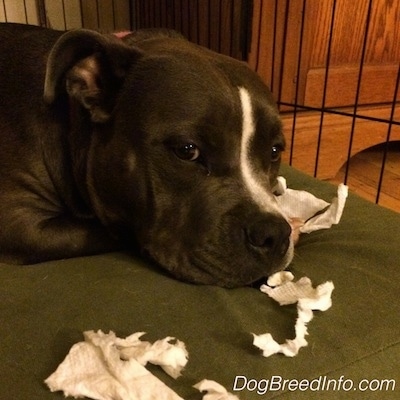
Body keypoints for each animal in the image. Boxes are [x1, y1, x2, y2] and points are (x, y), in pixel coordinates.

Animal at [0, 22, 294, 288]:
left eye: (275, 151)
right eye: (187, 150)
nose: (275, 234)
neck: (72, 123)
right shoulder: (21, 225)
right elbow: (115, 232)